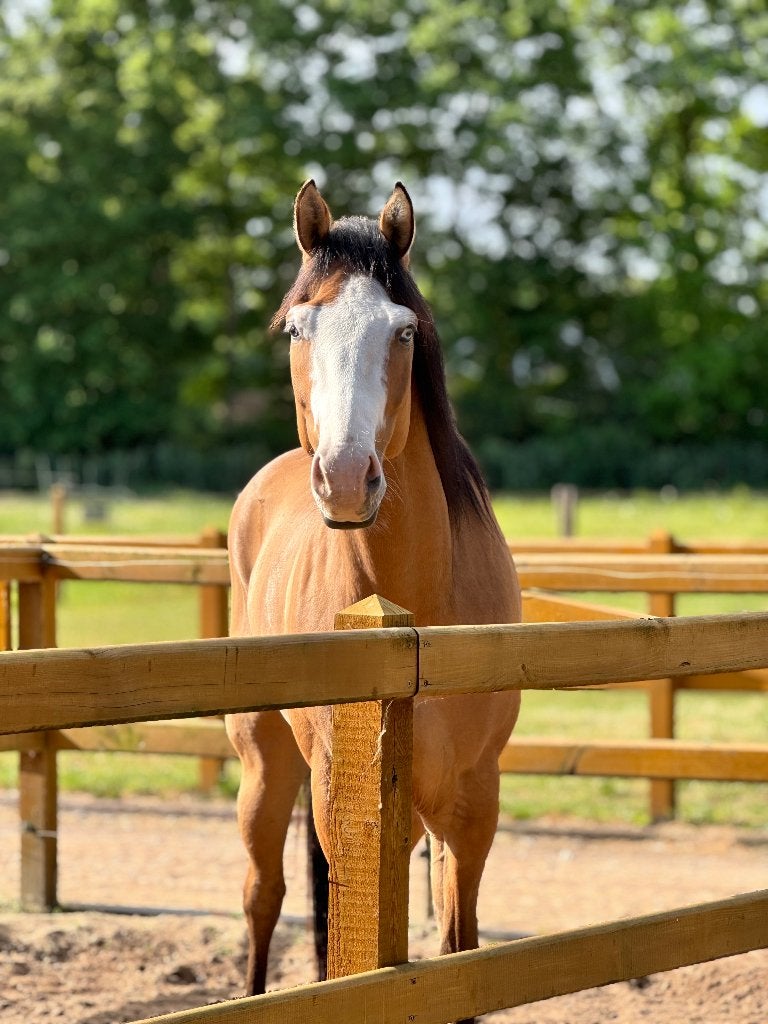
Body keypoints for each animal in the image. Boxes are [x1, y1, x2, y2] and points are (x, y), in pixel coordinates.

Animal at [226, 179, 521, 1023]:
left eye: (403, 332)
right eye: (299, 326)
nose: (346, 478)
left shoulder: (471, 808)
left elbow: (459, 953)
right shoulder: (344, 805)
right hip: (265, 766)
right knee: (263, 896)